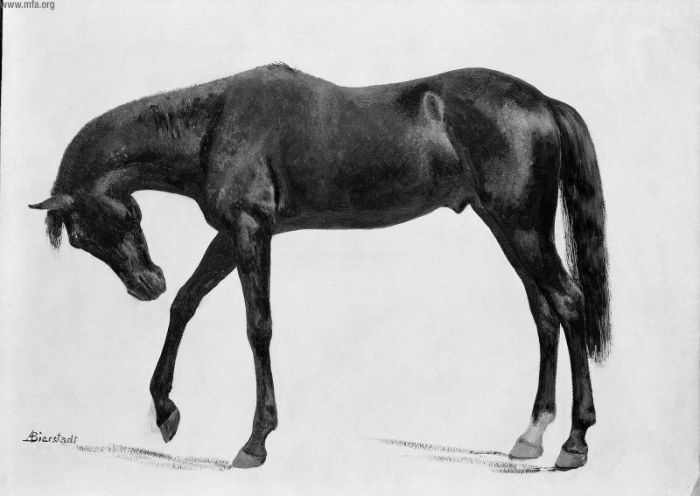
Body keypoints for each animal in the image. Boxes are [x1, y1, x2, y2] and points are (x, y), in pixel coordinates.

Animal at [30, 63, 610, 470]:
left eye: (101, 225)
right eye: (81, 241)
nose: (146, 284)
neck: (212, 124)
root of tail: (543, 102)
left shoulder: (251, 230)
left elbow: (258, 327)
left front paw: (255, 441)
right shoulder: (230, 234)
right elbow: (186, 303)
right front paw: (165, 410)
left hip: (522, 228)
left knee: (568, 302)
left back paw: (575, 443)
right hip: (509, 229)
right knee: (543, 314)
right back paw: (531, 435)